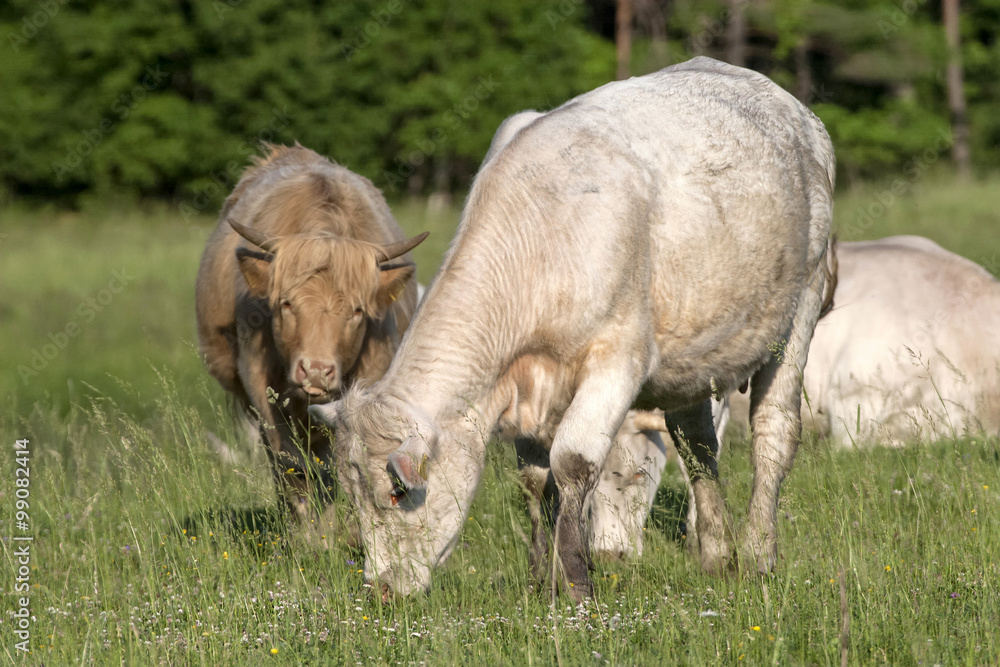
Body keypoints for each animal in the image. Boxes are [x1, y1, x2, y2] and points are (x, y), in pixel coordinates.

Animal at [195, 144, 427, 535]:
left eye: (356, 311)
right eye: (286, 304)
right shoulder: (259, 383)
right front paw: (307, 533)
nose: (316, 371)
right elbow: (290, 464)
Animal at [310, 57, 836, 600]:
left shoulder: (618, 361)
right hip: (693, 354)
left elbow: (573, 463)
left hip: (801, 307)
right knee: (696, 446)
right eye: (353, 495)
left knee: (774, 432)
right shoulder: (525, 385)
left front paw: (579, 584)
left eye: (397, 493)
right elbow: (535, 480)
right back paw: (716, 555)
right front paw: (542, 577)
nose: (381, 590)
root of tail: (789, 106)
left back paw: (757, 555)